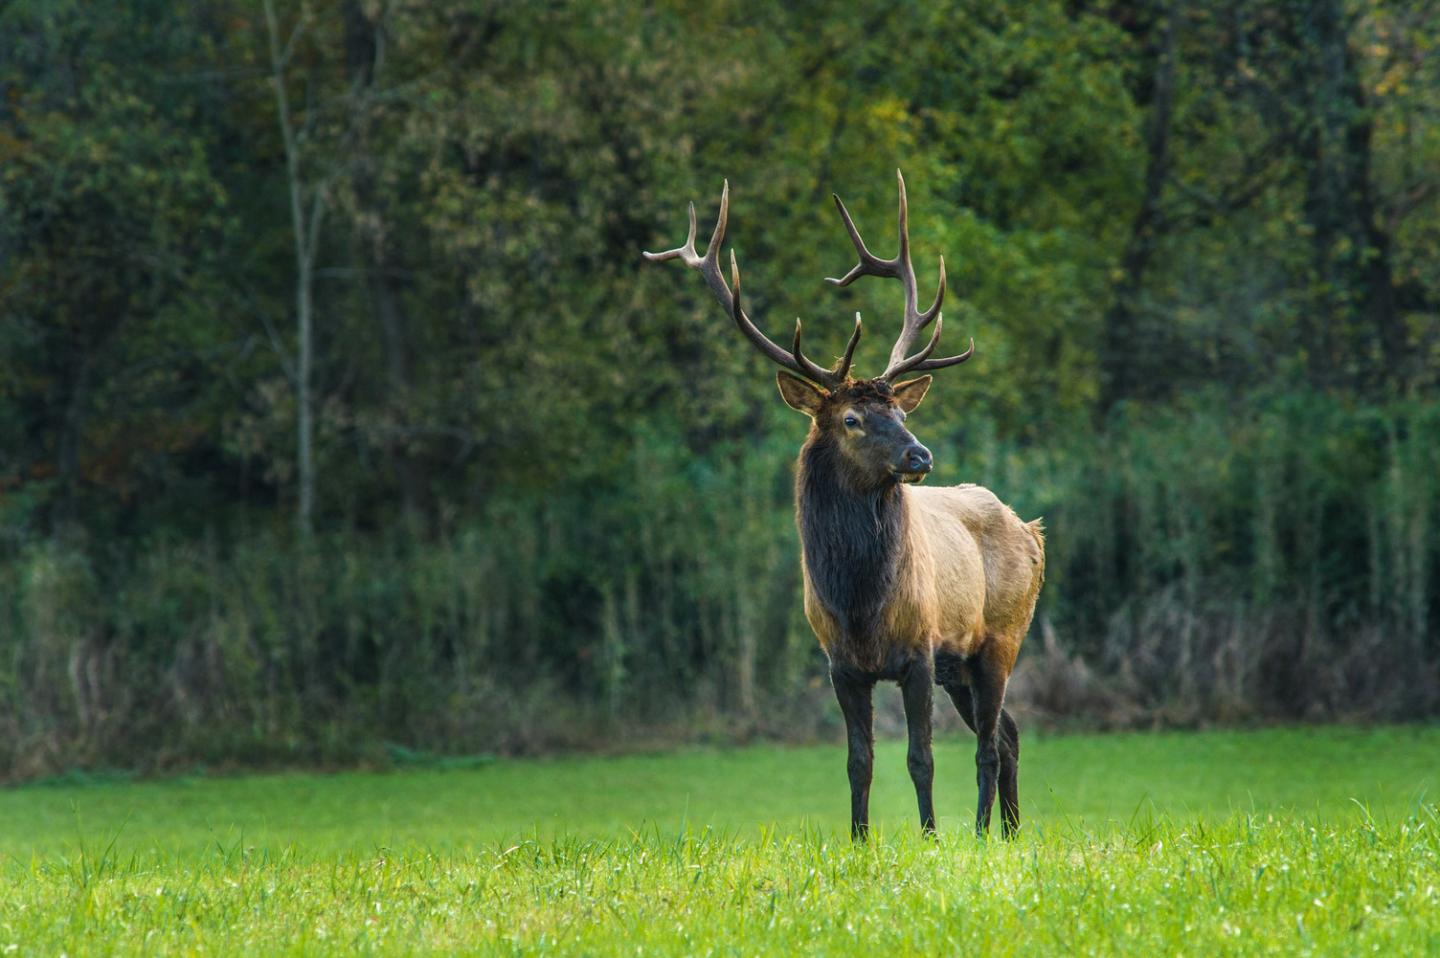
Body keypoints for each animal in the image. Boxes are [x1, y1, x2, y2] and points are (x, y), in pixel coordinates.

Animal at [644, 171, 1044, 840]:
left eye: (901, 410)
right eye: (852, 419)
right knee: (1009, 735)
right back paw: (1011, 834)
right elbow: (860, 761)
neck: (859, 602)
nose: (920, 454)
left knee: (991, 744)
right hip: (960, 666)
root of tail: (1032, 531)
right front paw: (858, 841)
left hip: (999, 638)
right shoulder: (840, 662)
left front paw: (930, 837)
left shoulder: (918, 651)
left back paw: (985, 833)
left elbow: (921, 758)